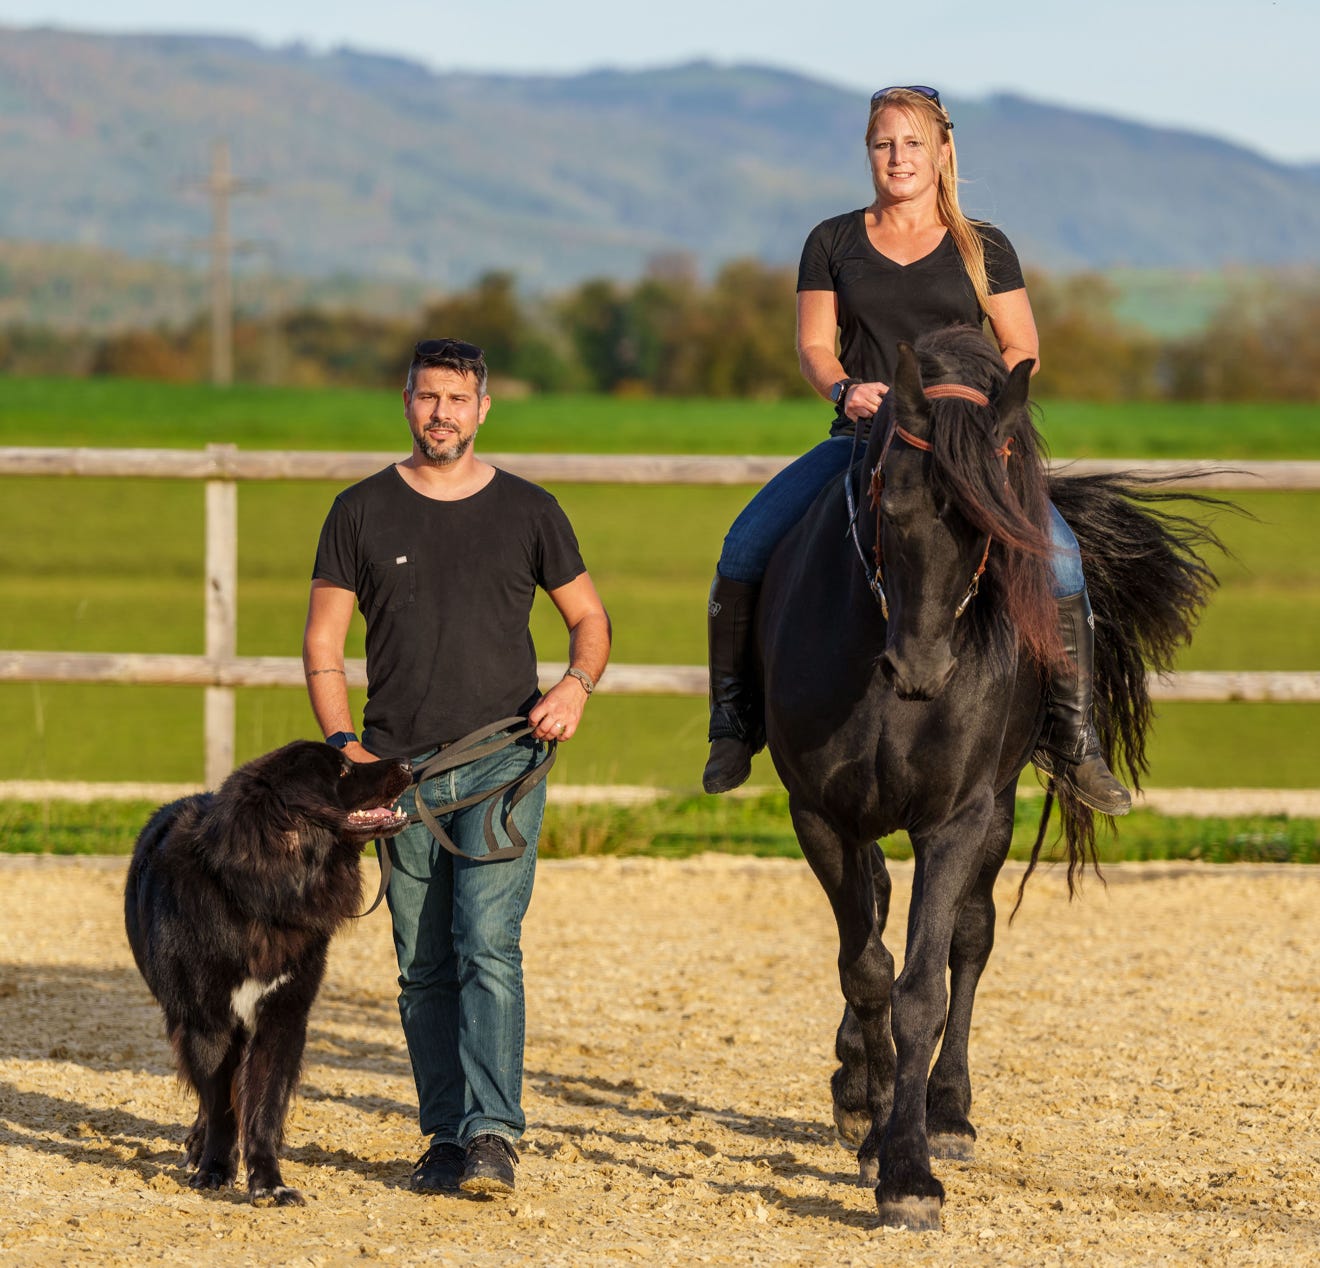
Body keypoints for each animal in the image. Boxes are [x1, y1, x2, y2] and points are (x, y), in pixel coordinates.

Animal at [126, 738, 411, 1203]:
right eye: (343, 771)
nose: (408, 763)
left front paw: (268, 1182)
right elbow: (222, 1106)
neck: (263, 893)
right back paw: (198, 1149)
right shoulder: (207, 1021)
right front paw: (215, 1170)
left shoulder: (283, 1016)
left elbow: (264, 1103)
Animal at [760, 324, 1219, 1224]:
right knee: (875, 916)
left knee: (970, 942)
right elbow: (867, 969)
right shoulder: (821, 815)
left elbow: (923, 988)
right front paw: (869, 1119)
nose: (922, 669)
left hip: (998, 814)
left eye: (986, 528)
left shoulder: (957, 820)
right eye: (890, 505)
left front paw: (907, 1167)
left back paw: (950, 1115)